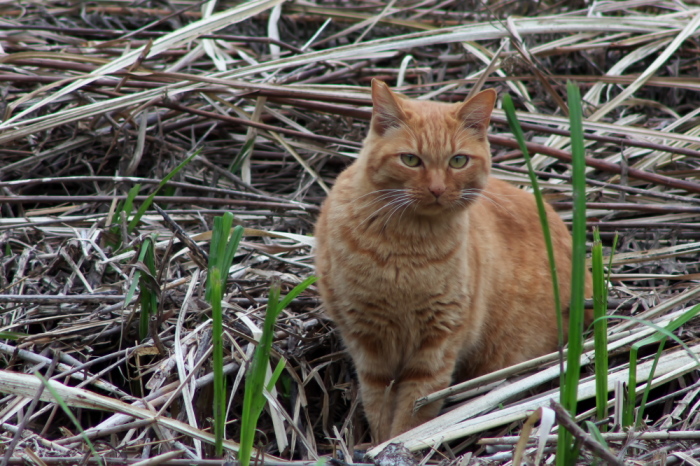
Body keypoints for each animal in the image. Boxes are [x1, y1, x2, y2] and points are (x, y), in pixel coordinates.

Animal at [314, 80, 592, 444]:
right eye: (410, 160)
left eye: (458, 161)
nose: (436, 189)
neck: (407, 251)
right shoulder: (367, 341)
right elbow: (377, 404)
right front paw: (378, 443)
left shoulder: (439, 340)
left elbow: (414, 410)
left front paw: (396, 444)